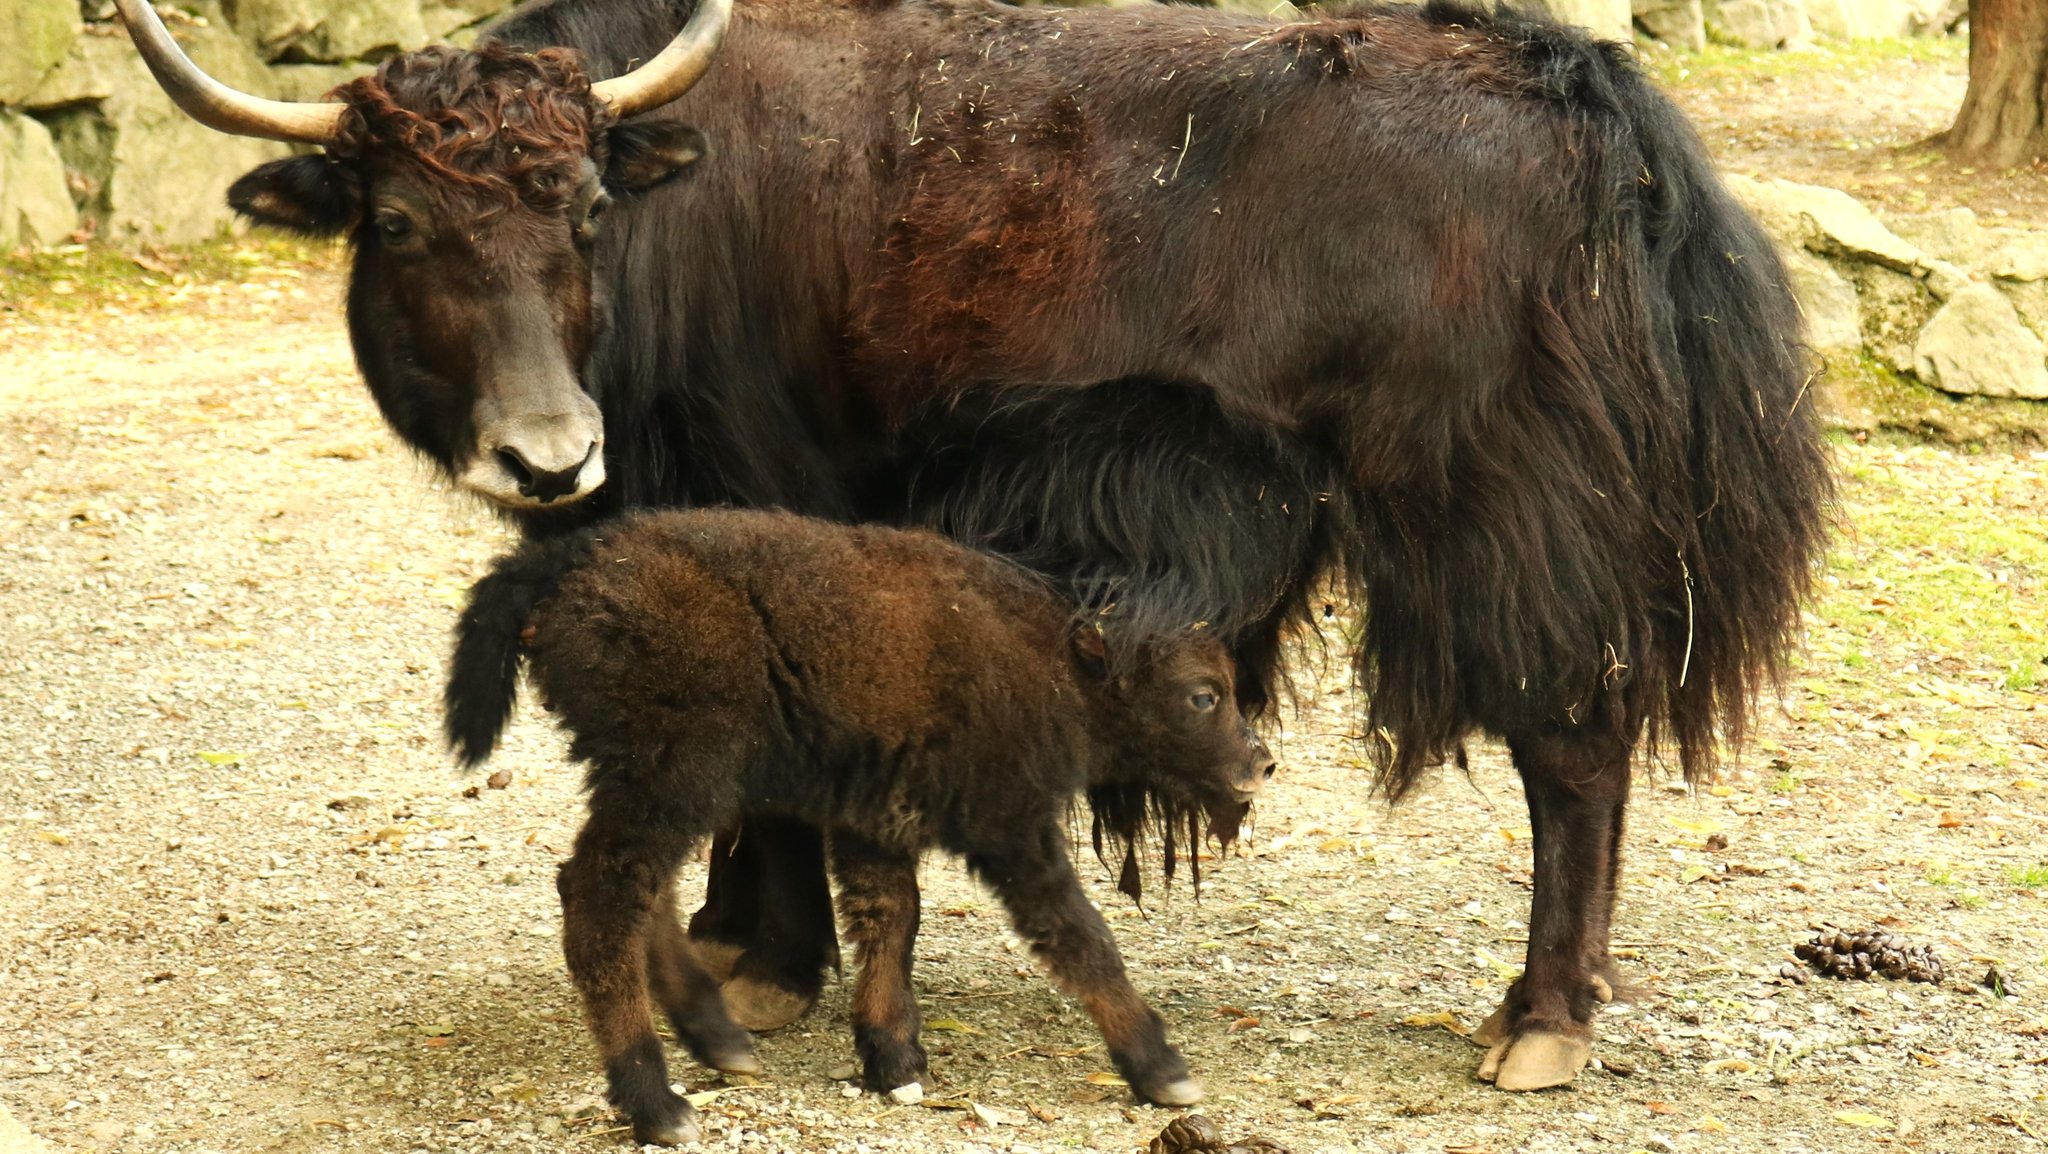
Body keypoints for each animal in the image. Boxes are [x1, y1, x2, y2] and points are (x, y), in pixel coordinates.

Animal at [448, 508, 1269, 1147]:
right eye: (1203, 695)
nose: (1258, 763)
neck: (1056, 661)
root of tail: (571, 559)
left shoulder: (876, 822)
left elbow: (890, 919)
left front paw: (892, 1058)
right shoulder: (1012, 830)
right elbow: (1079, 937)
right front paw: (1163, 1070)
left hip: (664, 790)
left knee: (641, 897)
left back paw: (721, 1042)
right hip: (671, 781)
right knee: (602, 896)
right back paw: (658, 1105)